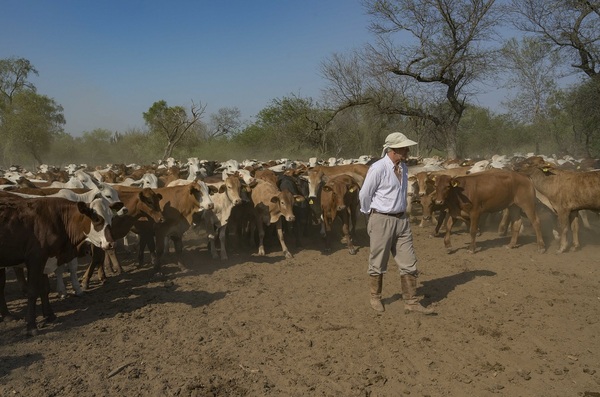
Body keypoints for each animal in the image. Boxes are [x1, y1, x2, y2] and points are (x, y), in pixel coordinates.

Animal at [0, 195, 122, 334]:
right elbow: (32, 292)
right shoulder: (36, 260)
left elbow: (45, 289)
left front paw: (50, 315)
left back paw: (7, 316)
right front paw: (31, 326)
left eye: (111, 218)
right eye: (96, 219)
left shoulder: (46, 260)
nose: (112, 244)